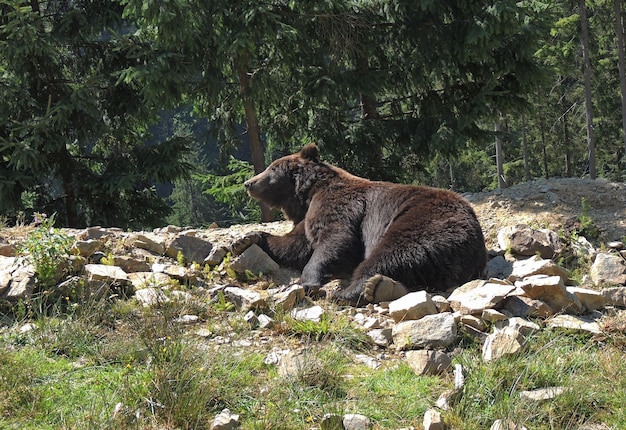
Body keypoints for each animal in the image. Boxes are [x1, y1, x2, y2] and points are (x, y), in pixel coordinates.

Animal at [236, 144, 486, 306]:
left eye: (272, 168)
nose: (248, 182)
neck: (307, 196)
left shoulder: (341, 206)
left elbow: (336, 239)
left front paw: (303, 282)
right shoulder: (306, 218)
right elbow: (295, 245)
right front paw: (245, 239)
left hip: (423, 220)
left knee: (393, 252)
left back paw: (356, 291)